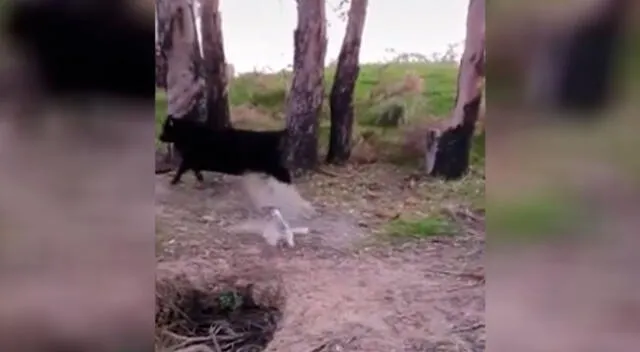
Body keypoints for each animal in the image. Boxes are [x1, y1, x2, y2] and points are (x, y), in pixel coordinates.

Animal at [160, 117, 292, 186]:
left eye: (166, 129)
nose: (159, 137)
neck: (189, 134)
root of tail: (273, 135)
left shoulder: (189, 158)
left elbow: (181, 169)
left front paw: (174, 181)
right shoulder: (192, 159)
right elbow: (193, 169)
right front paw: (200, 178)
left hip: (271, 165)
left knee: (285, 174)